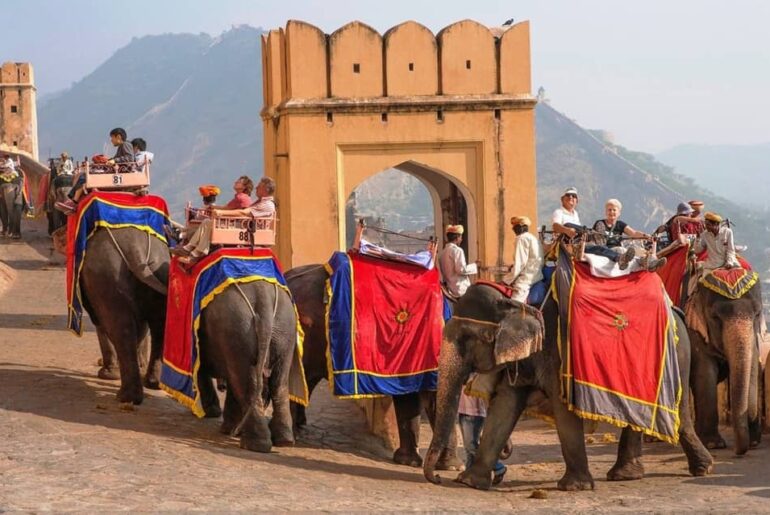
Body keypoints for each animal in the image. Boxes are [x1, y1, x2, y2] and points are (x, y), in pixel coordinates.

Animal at [80, 228, 169, 406]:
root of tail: (135, 250)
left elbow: (102, 325)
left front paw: (107, 374)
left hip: (108, 279)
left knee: (121, 329)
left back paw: (126, 397)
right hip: (159, 269)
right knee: (158, 327)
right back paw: (152, 384)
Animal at [194, 280, 298, 454]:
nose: (221, 386)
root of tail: (263, 300)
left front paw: (217, 418)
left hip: (237, 329)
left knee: (245, 383)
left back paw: (253, 444)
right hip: (285, 330)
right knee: (279, 383)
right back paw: (284, 441)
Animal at [424, 286, 712, 492]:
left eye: (467, 338)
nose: (437, 478)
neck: (518, 303)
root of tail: (676, 309)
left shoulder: (559, 355)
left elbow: (563, 408)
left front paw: (574, 487)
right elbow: (504, 407)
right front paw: (469, 482)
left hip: (677, 356)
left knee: (678, 413)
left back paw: (701, 469)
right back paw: (628, 475)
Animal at [684, 278, 760, 456]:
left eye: (758, 314)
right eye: (715, 317)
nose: (737, 451)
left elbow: (753, 366)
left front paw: (754, 442)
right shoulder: (694, 330)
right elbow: (705, 373)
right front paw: (713, 445)